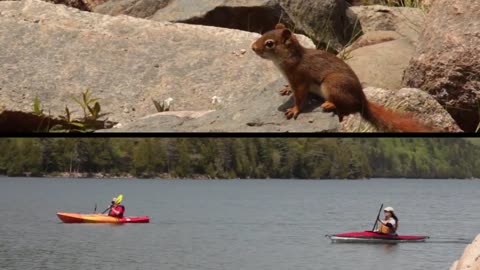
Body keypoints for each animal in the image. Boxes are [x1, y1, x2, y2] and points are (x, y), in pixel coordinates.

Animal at [251, 23, 432, 133]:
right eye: (263, 33)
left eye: (269, 43)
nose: (252, 47)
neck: (288, 61)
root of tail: (362, 99)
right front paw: (287, 89)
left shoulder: (301, 79)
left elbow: (300, 97)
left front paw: (294, 110)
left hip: (332, 84)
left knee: (350, 108)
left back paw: (330, 104)